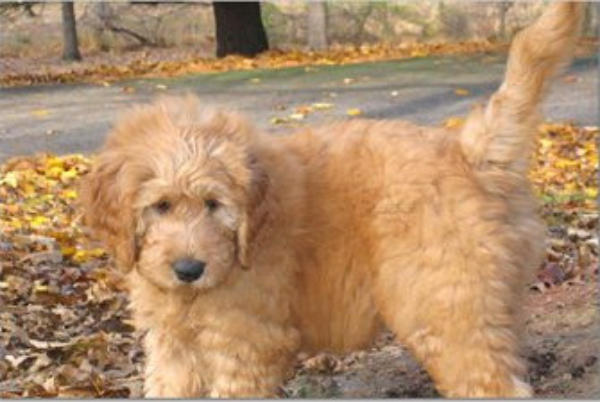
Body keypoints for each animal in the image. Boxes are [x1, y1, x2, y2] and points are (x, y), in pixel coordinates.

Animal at [78, 3, 580, 398]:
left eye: (214, 205)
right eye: (160, 206)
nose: (188, 269)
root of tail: (471, 151)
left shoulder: (245, 342)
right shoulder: (172, 348)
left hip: (449, 308)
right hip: (490, 304)